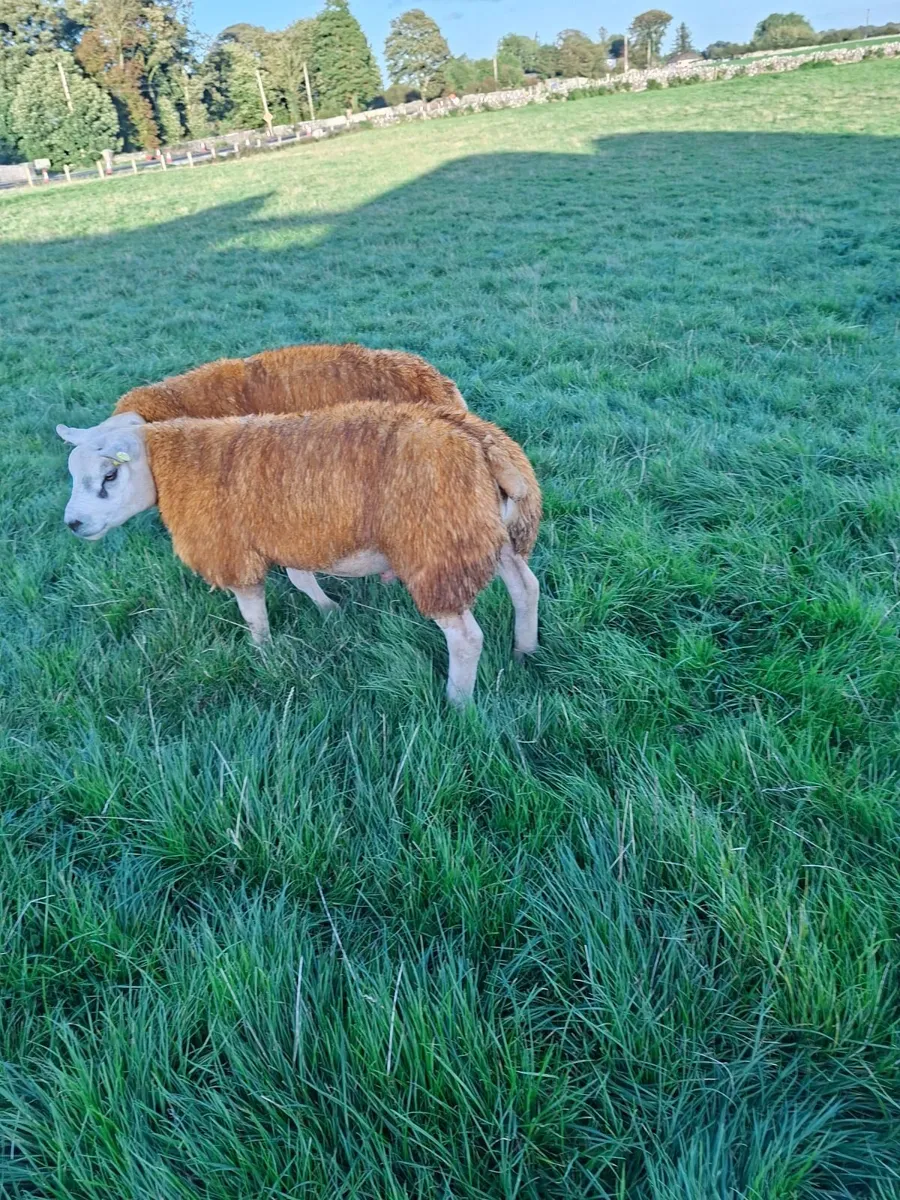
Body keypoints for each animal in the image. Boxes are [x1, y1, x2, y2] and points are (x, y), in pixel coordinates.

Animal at [57, 404, 541, 705]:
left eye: (109, 475)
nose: (73, 524)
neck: (174, 464)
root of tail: (483, 444)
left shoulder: (234, 548)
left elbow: (253, 612)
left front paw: (264, 654)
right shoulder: (287, 532)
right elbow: (300, 578)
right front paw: (329, 611)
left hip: (439, 550)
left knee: (466, 638)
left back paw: (457, 704)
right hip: (491, 535)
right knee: (527, 588)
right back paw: (525, 653)